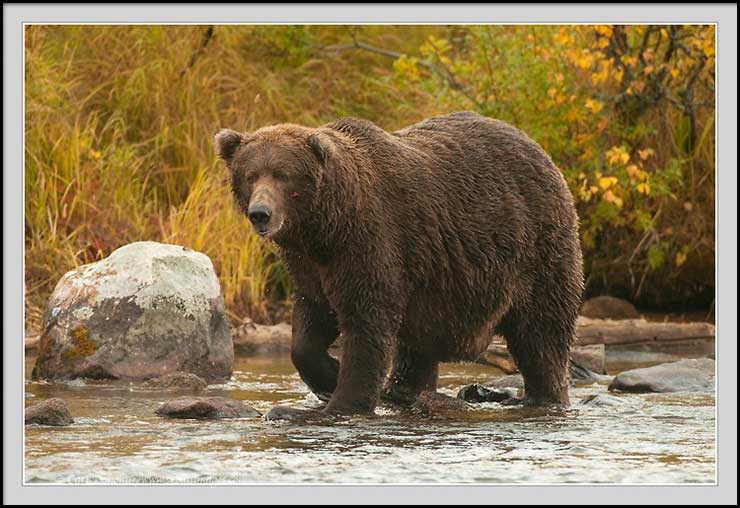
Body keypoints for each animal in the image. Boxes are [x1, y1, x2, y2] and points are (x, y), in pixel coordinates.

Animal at [214, 112, 584, 420]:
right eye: (250, 175)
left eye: (283, 175)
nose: (261, 213)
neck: (325, 227)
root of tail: (542, 153)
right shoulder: (311, 265)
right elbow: (311, 322)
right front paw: (328, 375)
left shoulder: (370, 243)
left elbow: (367, 321)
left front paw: (342, 401)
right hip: (435, 283)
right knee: (418, 346)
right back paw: (404, 391)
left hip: (536, 250)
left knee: (541, 332)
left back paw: (541, 396)